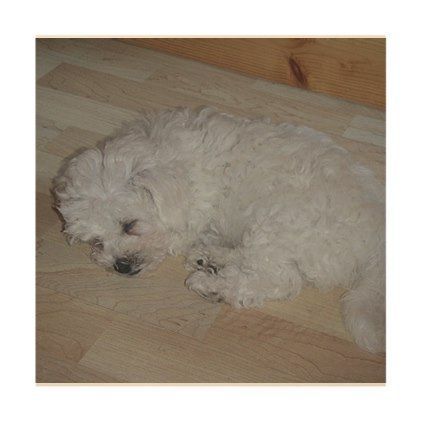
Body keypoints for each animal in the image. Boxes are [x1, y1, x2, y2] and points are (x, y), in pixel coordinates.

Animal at [53, 106, 386, 352]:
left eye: (129, 225)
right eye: (96, 241)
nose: (120, 266)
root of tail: (376, 241)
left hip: (279, 223)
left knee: (277, 279)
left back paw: (211, 285)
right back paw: (210, 258)